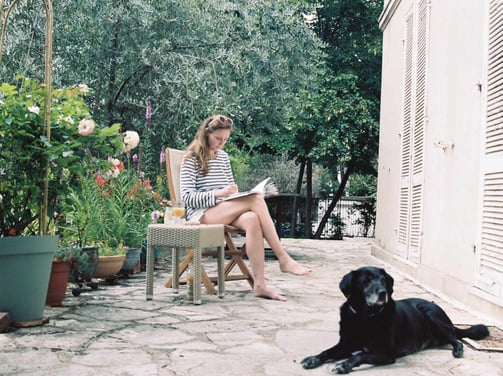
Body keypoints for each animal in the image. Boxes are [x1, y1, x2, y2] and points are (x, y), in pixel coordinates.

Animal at [302, 266, 490, 374]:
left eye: (383, 280)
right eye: (366, 281)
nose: (383, 292)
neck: (365, 317)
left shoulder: (385, 353)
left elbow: (361, 355)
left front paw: (344, 365)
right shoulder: (346, 344)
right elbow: (327, 352)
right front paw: (313, 359)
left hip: (431, 315)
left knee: (456, 339)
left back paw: (457, 350)